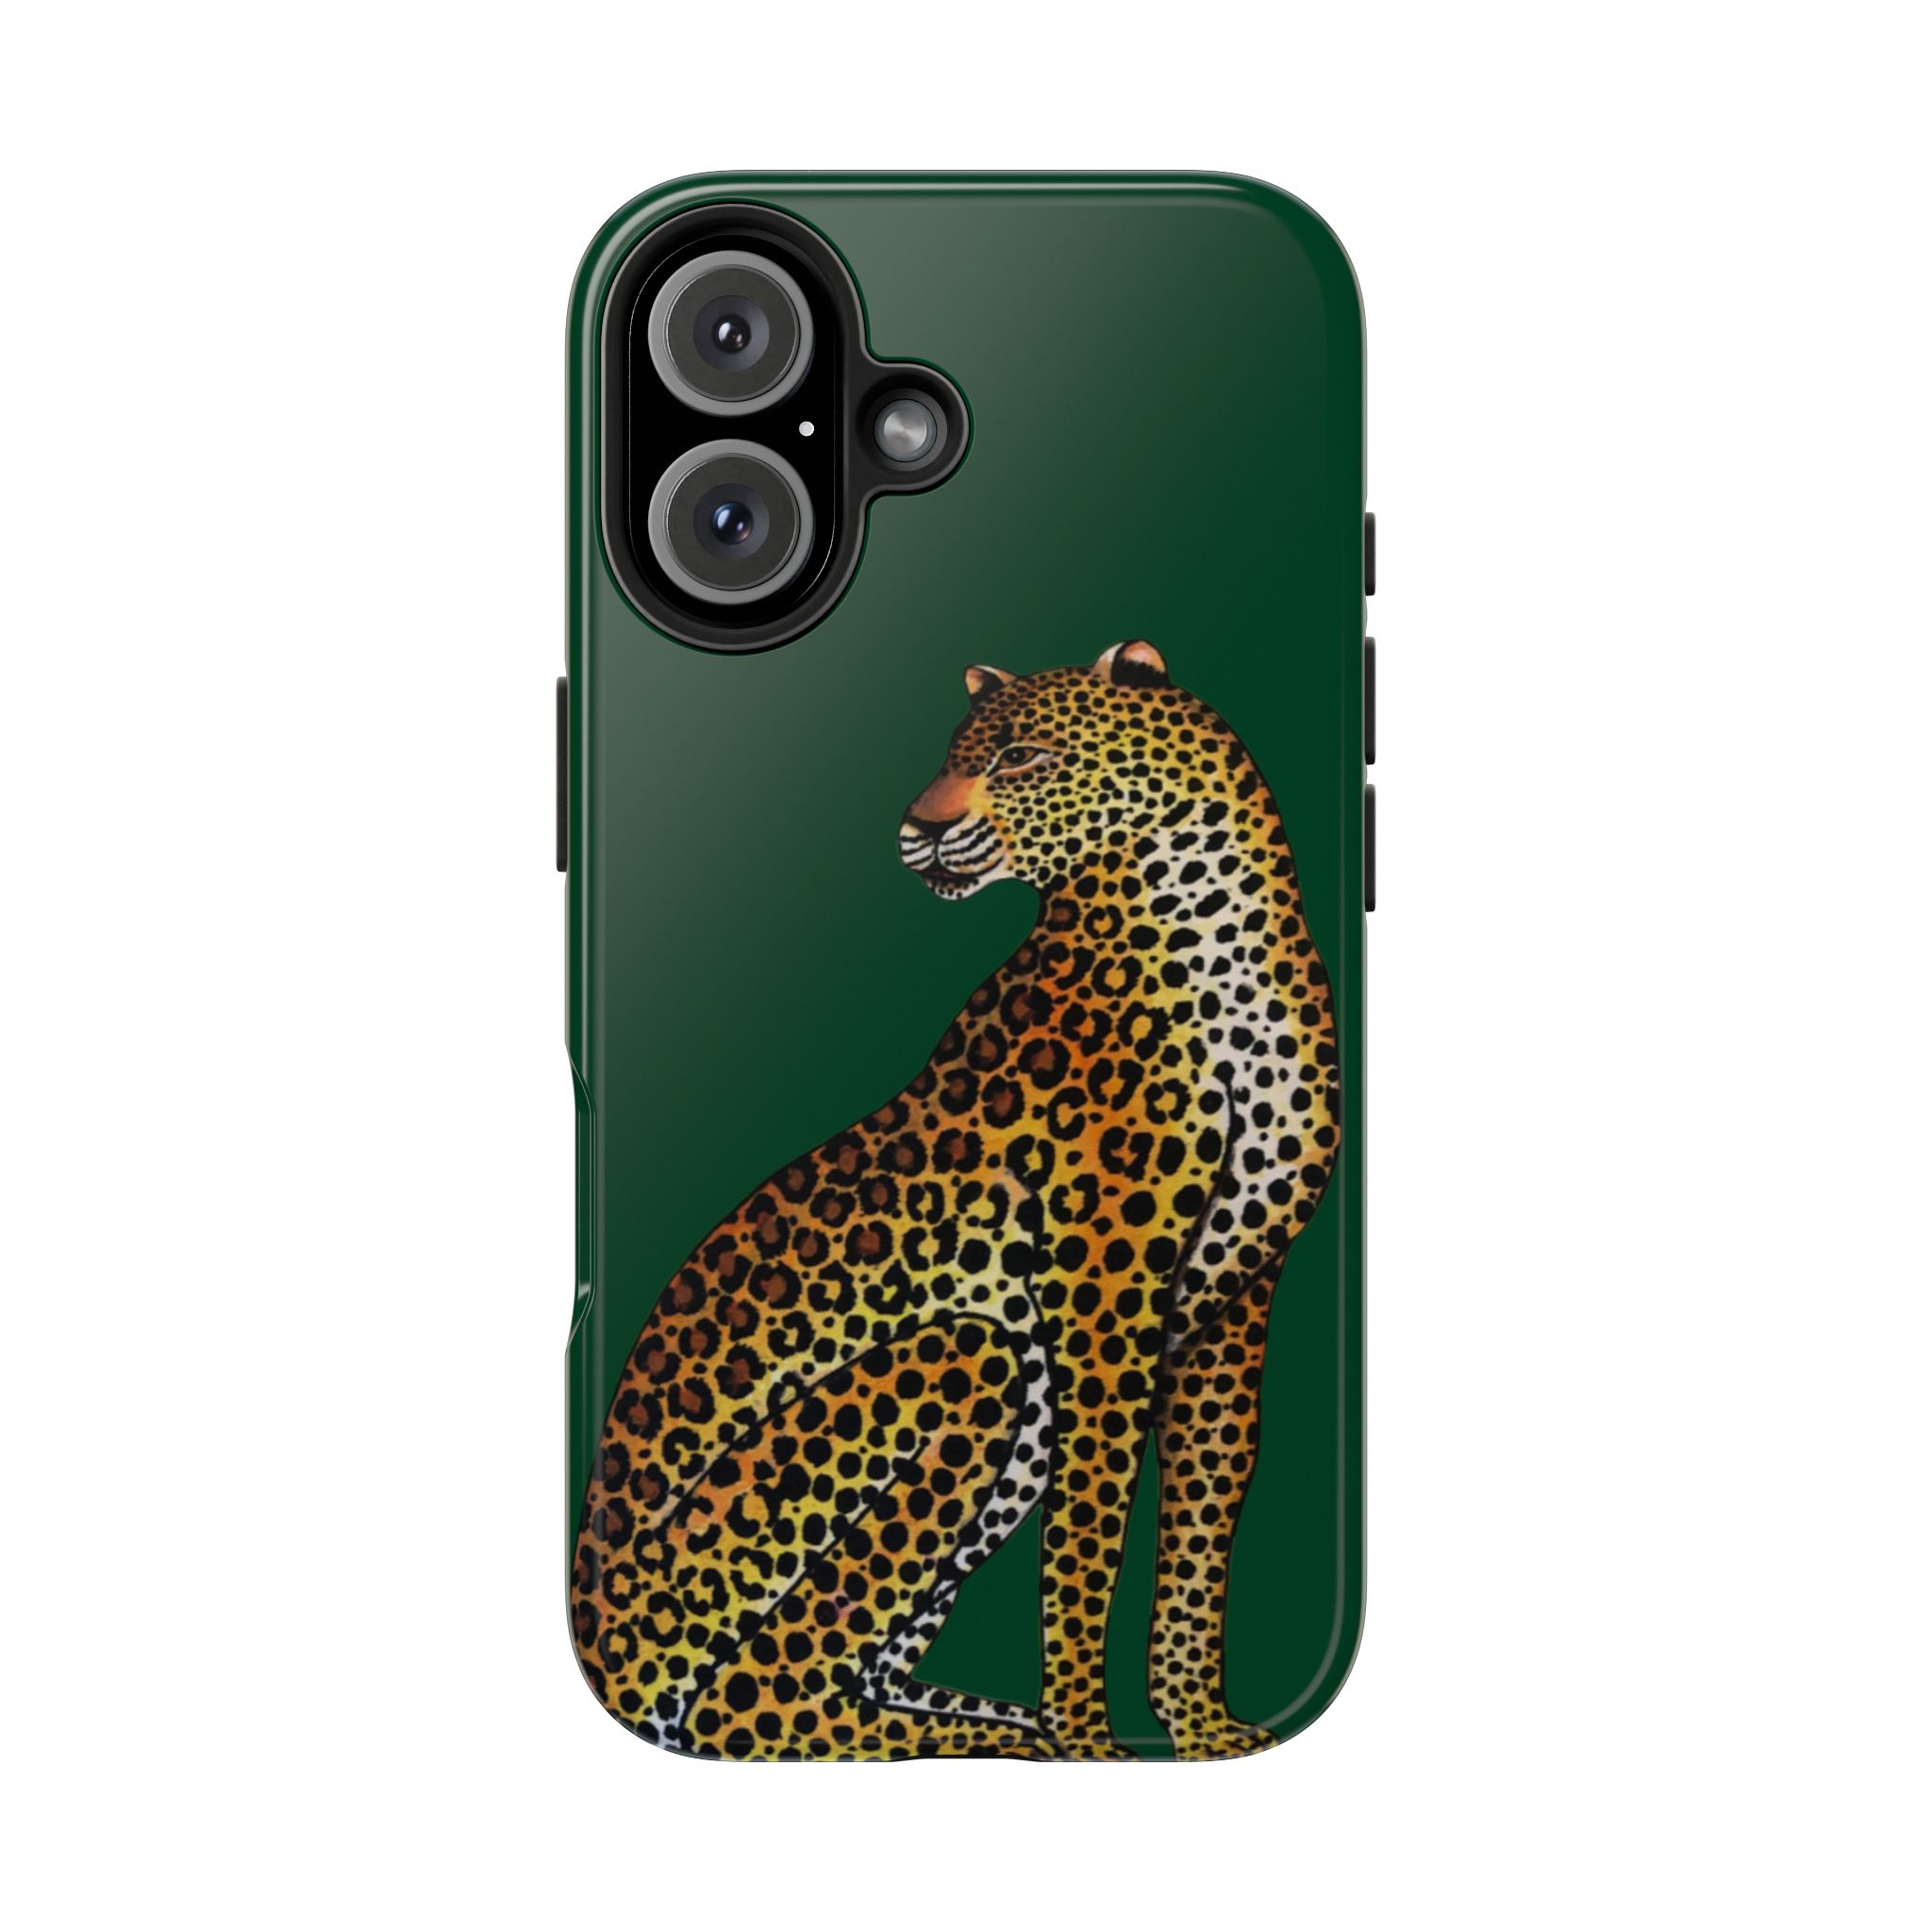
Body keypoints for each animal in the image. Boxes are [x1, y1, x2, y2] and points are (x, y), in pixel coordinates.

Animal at [570, 638, 1340, 1762]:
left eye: (1021, 755)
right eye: (951, 757)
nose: (918, 827)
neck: (1217, 930)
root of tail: (587, 1614)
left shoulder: (1235, 1304)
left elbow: (1200, 1524)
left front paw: (1198, 1728)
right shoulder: (1103, 1300)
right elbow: (1087, 1537)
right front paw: (1092, 1743)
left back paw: (989, 1723)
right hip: (968, 1364)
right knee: (755, 1699)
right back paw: (1005, 1736)